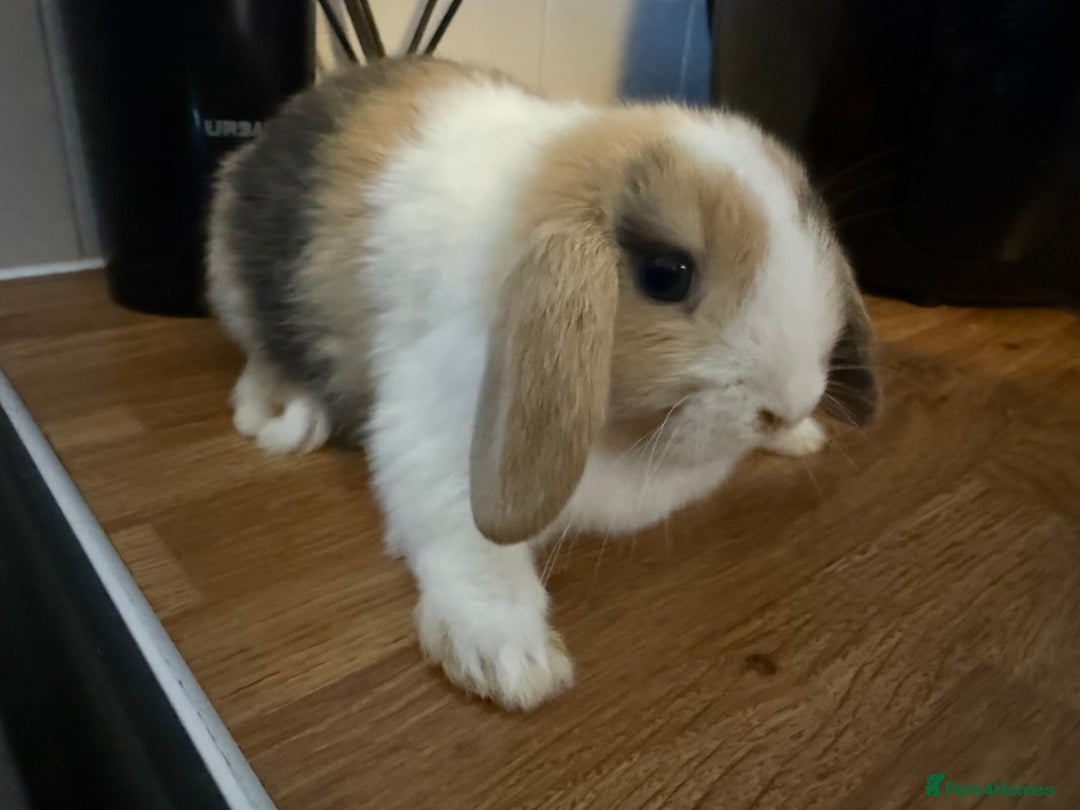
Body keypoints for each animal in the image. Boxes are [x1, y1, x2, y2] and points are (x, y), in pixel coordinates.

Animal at [205, 56, 878, 711]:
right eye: (666, 274)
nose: (787, 406)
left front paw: (801, 437)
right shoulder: (435, 439)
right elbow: (468, 547)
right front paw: (510, 661)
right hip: (238, 299)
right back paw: (282, 416)